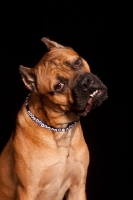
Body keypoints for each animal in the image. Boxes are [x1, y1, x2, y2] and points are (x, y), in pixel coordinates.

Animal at [0, 37, 107, 198]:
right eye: (59, 86)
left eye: (77, 62)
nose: (85, 83)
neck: (59, 131)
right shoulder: (27, 191)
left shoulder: (77, 188)